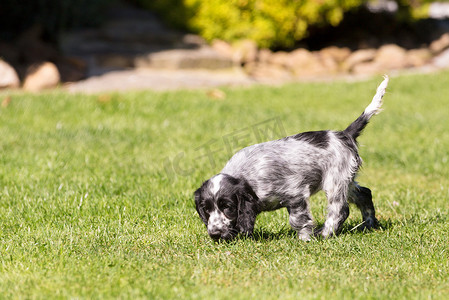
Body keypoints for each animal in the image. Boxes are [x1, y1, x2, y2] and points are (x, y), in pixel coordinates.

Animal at [194, 75, 386, 241]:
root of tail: (344, 134)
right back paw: (369, 225)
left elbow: (298, 220)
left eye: (227, 207)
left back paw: (325, 233)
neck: (247, 176)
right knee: (365, 194)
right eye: (206, 209)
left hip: (335, 182)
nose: (215, 234)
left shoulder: (295, 194)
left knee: (340, 210)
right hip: (346, 179)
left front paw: (305, 239)